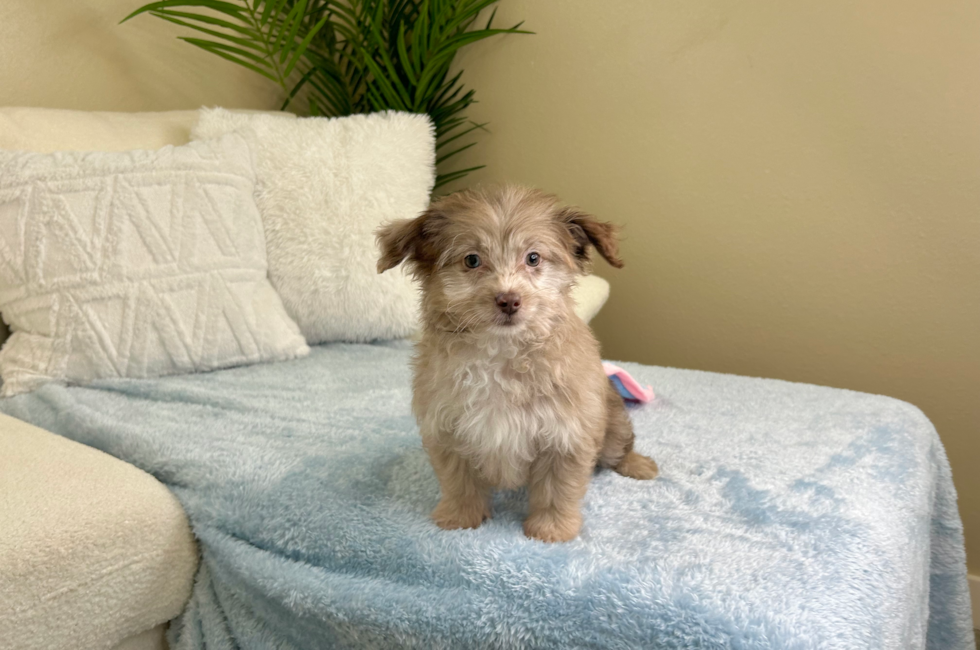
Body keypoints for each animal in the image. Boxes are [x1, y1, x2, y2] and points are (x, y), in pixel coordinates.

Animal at [376, 185, 660, 540]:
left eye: (533, 258)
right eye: (472, 260)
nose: (508, 300)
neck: (502, 352)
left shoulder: (566, 433)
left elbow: (557, 488)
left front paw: (551, 529)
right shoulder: (447, 429)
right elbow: (459, 481)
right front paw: (460, 517)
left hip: (612, 426)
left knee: (619, 449)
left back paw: (639, 465)